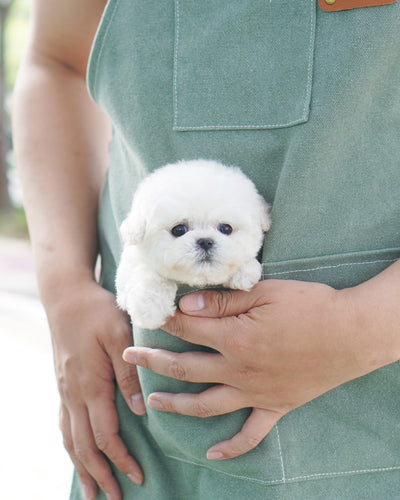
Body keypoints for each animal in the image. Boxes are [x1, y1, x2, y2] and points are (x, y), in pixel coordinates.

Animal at [115, 160, 272, 330]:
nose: (205, 241)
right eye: (179, 230)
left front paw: (243, 271)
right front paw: (149, 307)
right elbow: (147, 272)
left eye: (226, 228)